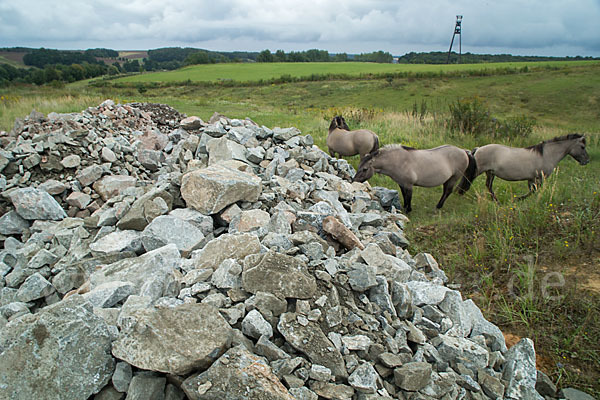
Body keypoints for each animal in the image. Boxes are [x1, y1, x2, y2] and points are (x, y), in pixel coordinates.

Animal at [460, 134, 592, 202]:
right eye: (582, 147)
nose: (586, 161)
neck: (547, 154)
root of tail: (478, 149)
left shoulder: (532, 178)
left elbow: (532, 190)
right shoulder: (539, 178)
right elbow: (533, 191)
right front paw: (518, 199)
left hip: (490, 173)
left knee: (488, 186)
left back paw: (496, 201)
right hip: (480, 171)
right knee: (468, 179)